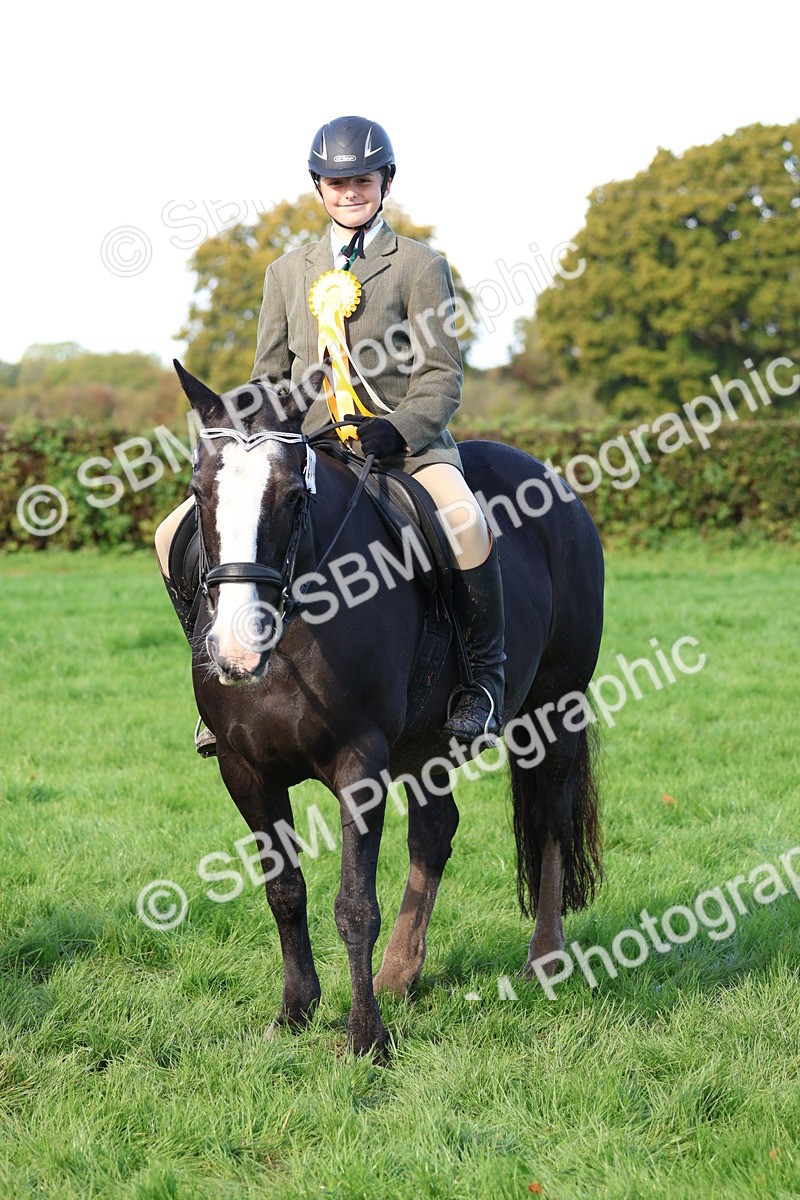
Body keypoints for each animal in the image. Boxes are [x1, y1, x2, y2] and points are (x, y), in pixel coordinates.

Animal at [172, 360, 605, 1057]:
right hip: (427, 744)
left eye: (293, 497)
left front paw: (366, 1038)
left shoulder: (360, 764)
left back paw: (545, 960)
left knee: (550, 821)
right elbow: (285, 891)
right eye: (200, 493)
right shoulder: (245, 769)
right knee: (435, 830)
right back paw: (401, 973)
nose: (237, 647)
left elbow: (354, 906)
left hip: (556, 710)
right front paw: (295, 1012)